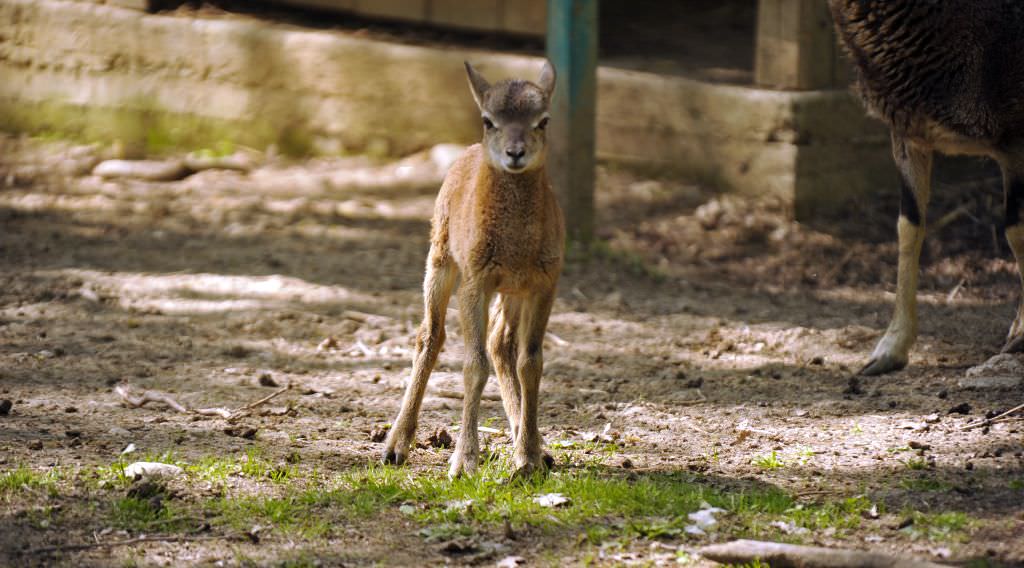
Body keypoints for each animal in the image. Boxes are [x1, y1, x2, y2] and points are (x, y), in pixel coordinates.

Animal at [831, 1, 1024, 378]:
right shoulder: (909, 135)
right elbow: (908, 227)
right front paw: (890, 350)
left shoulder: (1016, 139)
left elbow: (1016, 231)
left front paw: (1023, 334)